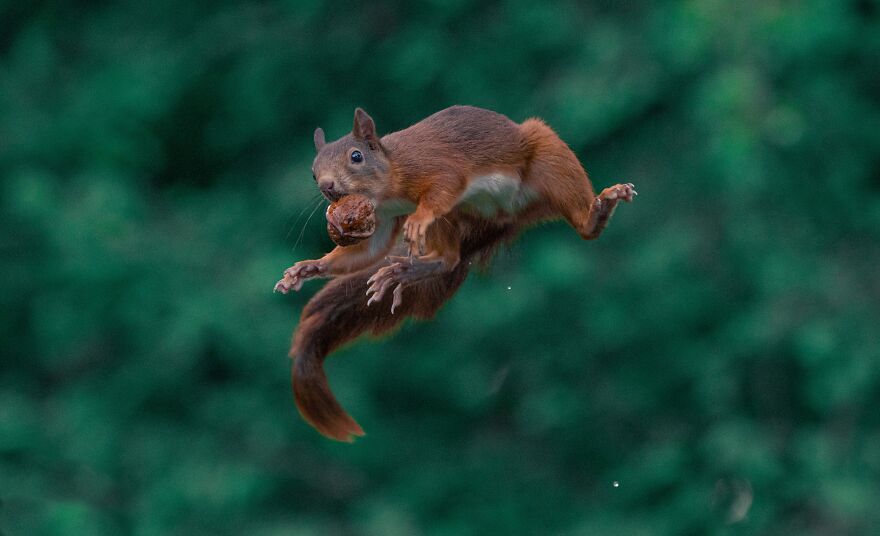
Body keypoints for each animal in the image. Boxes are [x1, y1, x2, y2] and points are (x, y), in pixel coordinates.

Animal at [275, 106, 636, 441]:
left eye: (356, 156)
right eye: (313, 172)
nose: (327, 187)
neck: (387, 185)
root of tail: (509, 215)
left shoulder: (435, 167)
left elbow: (445, 184)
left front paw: (419, 217)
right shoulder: (383, 220)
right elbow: (370, 250)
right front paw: (309, 267)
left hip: (547, 157)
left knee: (579, 218)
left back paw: (597, 212)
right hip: (457, 215)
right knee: (448, 258)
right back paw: (409, 269)